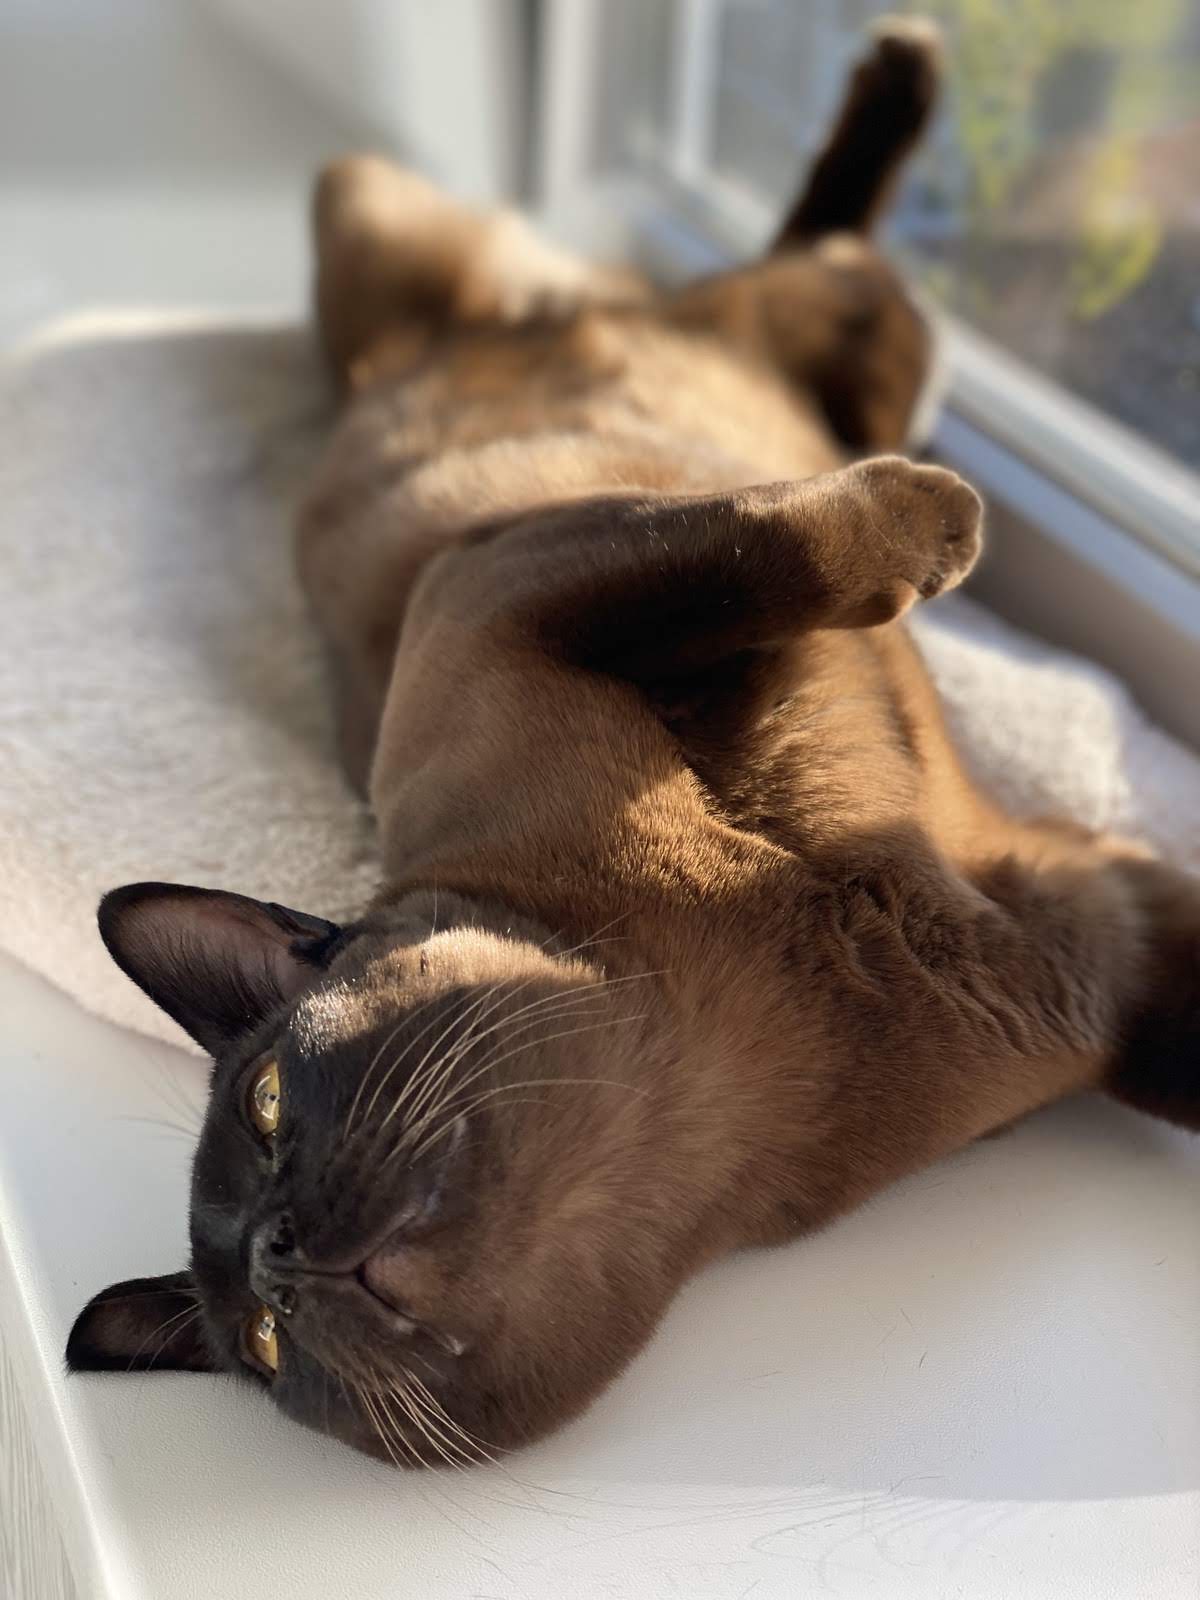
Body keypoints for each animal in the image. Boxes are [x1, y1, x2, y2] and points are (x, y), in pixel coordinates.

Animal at [68, 20, 1199, 1470]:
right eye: (265, 1347)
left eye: (266, 1105)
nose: (276, 1250)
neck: (760, 1039)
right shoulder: (1107, 940)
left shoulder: (498, 586)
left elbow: (766, 545)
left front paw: (932, 528)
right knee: (832, 269)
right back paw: (899, 87)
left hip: (372, 221)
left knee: (820, 309)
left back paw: (900, 96)